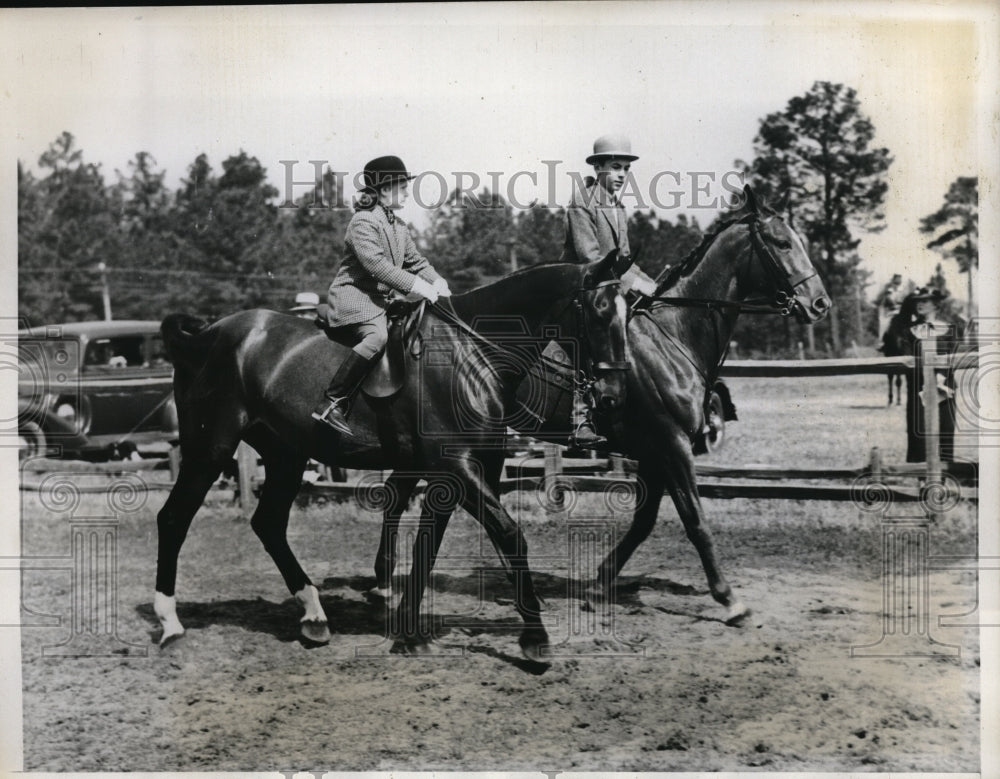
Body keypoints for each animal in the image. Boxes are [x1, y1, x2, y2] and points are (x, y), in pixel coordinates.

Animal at [153, 258, 624, 664]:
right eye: (600, 312)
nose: (611, 397)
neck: (471, 355)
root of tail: (205, 334)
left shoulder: (467, 474)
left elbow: (432, 548)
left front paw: (409, 633)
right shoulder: (459, 469)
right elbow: (510, 536)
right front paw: (535, 638)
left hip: (285, 455)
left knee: (267, 524)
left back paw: (314, 616)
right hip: (209, 448)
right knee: (174, 518)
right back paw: (170, 623)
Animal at [374, 187, 828, 628]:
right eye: (783, 243)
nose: (819, 304)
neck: (673, 337)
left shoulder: (655, 452)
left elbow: (644, 523)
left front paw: (598, 586)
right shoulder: (672, 445)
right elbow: (695, 520)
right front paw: (730, 600)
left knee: (399, 492)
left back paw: (385, 583)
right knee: (403, 494)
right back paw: (388, 585)